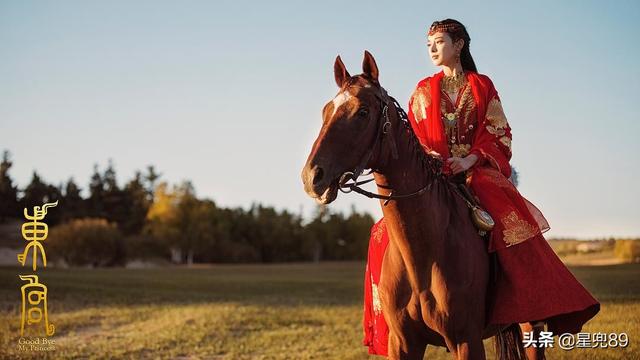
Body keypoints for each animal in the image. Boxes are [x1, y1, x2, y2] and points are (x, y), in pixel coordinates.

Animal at [302, 51, 528, 360]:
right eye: (326, 110)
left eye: (362, 112)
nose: (312, 177)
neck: (423, 256)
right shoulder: (403, 342)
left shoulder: (467, 341)